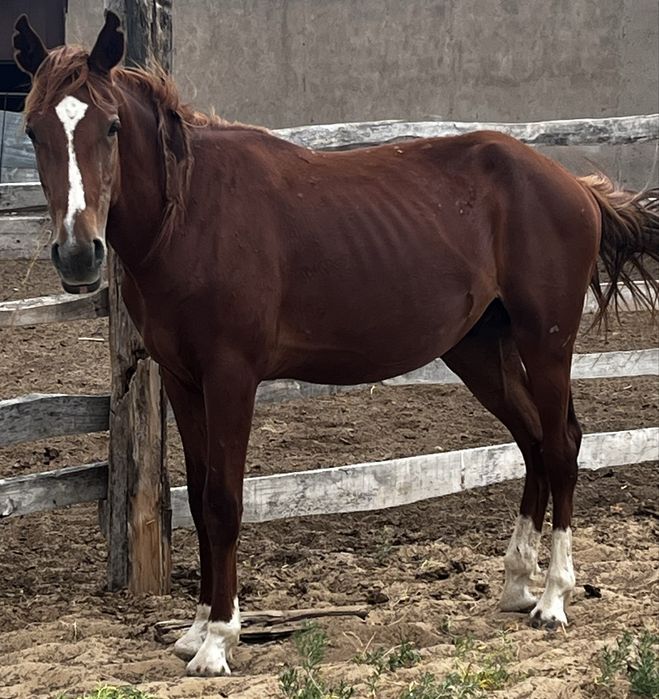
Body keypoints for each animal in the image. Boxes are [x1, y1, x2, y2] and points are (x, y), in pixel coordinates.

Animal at [13, 11, 659, 677]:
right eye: (33, 130)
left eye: (112, 126)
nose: (78, 254)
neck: (191, 214)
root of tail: (575, 186)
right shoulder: (181, 378)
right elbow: (196, 493)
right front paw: (193, 631)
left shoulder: (230, 377)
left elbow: (222, 501)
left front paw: (218, 640)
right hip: (481, 350)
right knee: (532, 442)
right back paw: (515, 585)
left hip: (546, 342)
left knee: (561, 446)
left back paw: (553, 599)